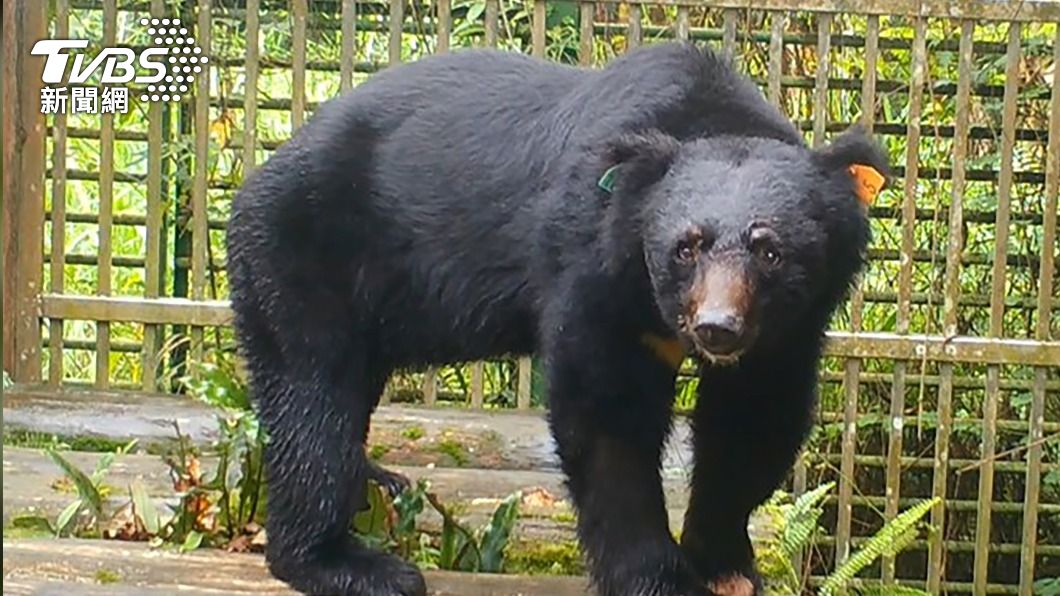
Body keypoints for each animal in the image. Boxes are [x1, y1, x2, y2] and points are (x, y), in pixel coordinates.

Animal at [226, 42, 888, 596]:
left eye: (769, 250)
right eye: (686, 247)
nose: (717, 328)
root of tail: (257, 175)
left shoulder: (789, 326)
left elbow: (753, 419)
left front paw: (725, 563)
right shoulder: (591, 266)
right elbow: (607, 414)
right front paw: (659, 577)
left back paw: (379, 482)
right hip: (302, 255)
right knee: (313, 402)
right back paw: (347, 562)